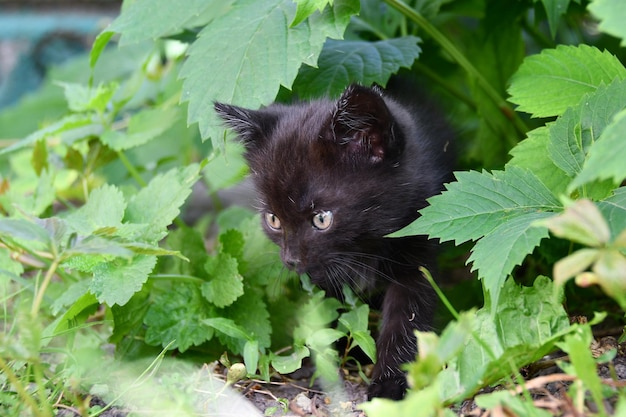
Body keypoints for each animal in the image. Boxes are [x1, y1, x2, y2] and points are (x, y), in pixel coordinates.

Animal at [214, 80, 454, 396]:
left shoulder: (417, 249)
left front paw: (389, 384)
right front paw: (326, 363)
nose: (291, 260)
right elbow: (331, 313)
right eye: (273, 219)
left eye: (321, 218)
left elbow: (408, 316)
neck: (368, 247)